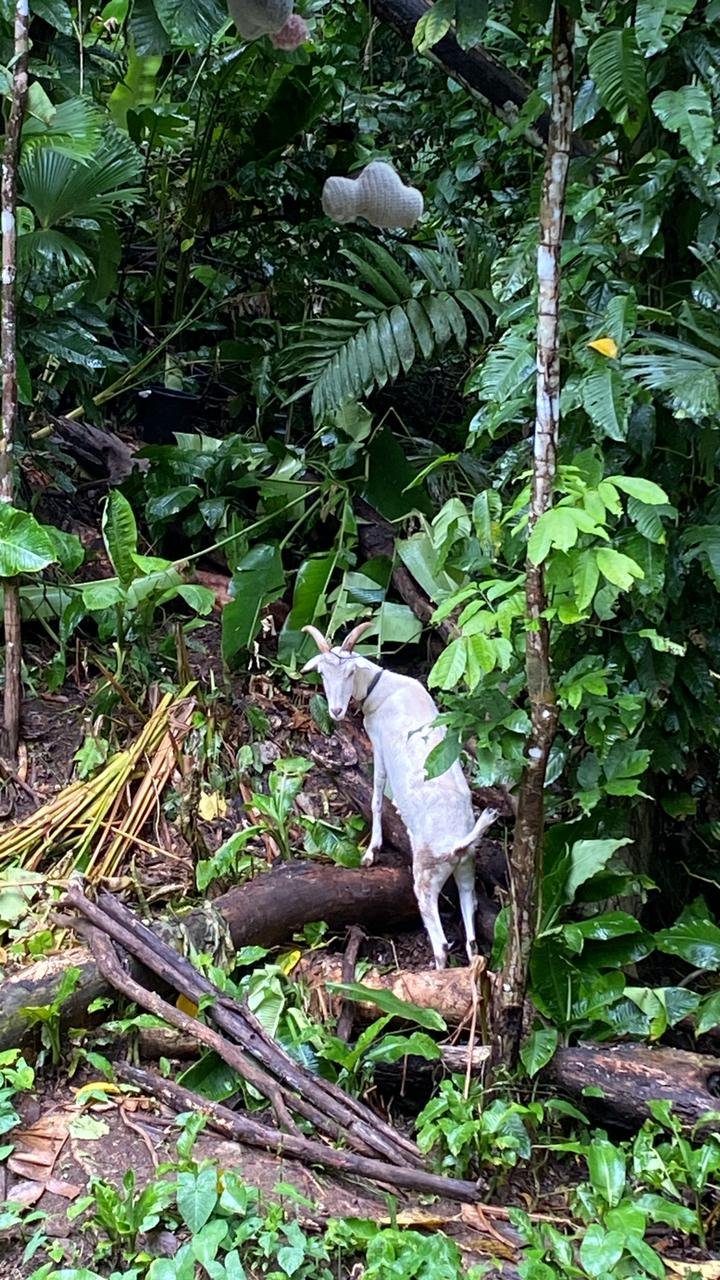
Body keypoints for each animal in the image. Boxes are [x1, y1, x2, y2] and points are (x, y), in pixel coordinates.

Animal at [301, 622, 499, 969]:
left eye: (350, 672)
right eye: (323, 673)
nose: (336, 711)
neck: (384, 688)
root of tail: (456, 844)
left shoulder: (378, 743)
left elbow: (377, 793)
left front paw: (371, 850)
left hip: (426, 876)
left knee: (441, 943)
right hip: (467, 868)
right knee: (472, 936)